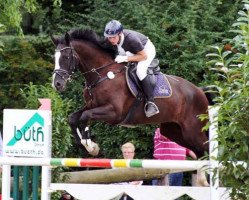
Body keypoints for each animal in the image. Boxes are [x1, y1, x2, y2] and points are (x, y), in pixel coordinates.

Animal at [51, 29, 209, 158]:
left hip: (193, 130)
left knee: (206, 148)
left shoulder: (113, 112)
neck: (102, 75)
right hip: (173, 130)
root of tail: (199, 91)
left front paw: (90, 145)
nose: (57, 84)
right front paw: (87, 145)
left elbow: (85, 116)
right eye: (54, 58)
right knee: (200, 152)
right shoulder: (91, 105)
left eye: (66, 57)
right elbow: (73, 118)